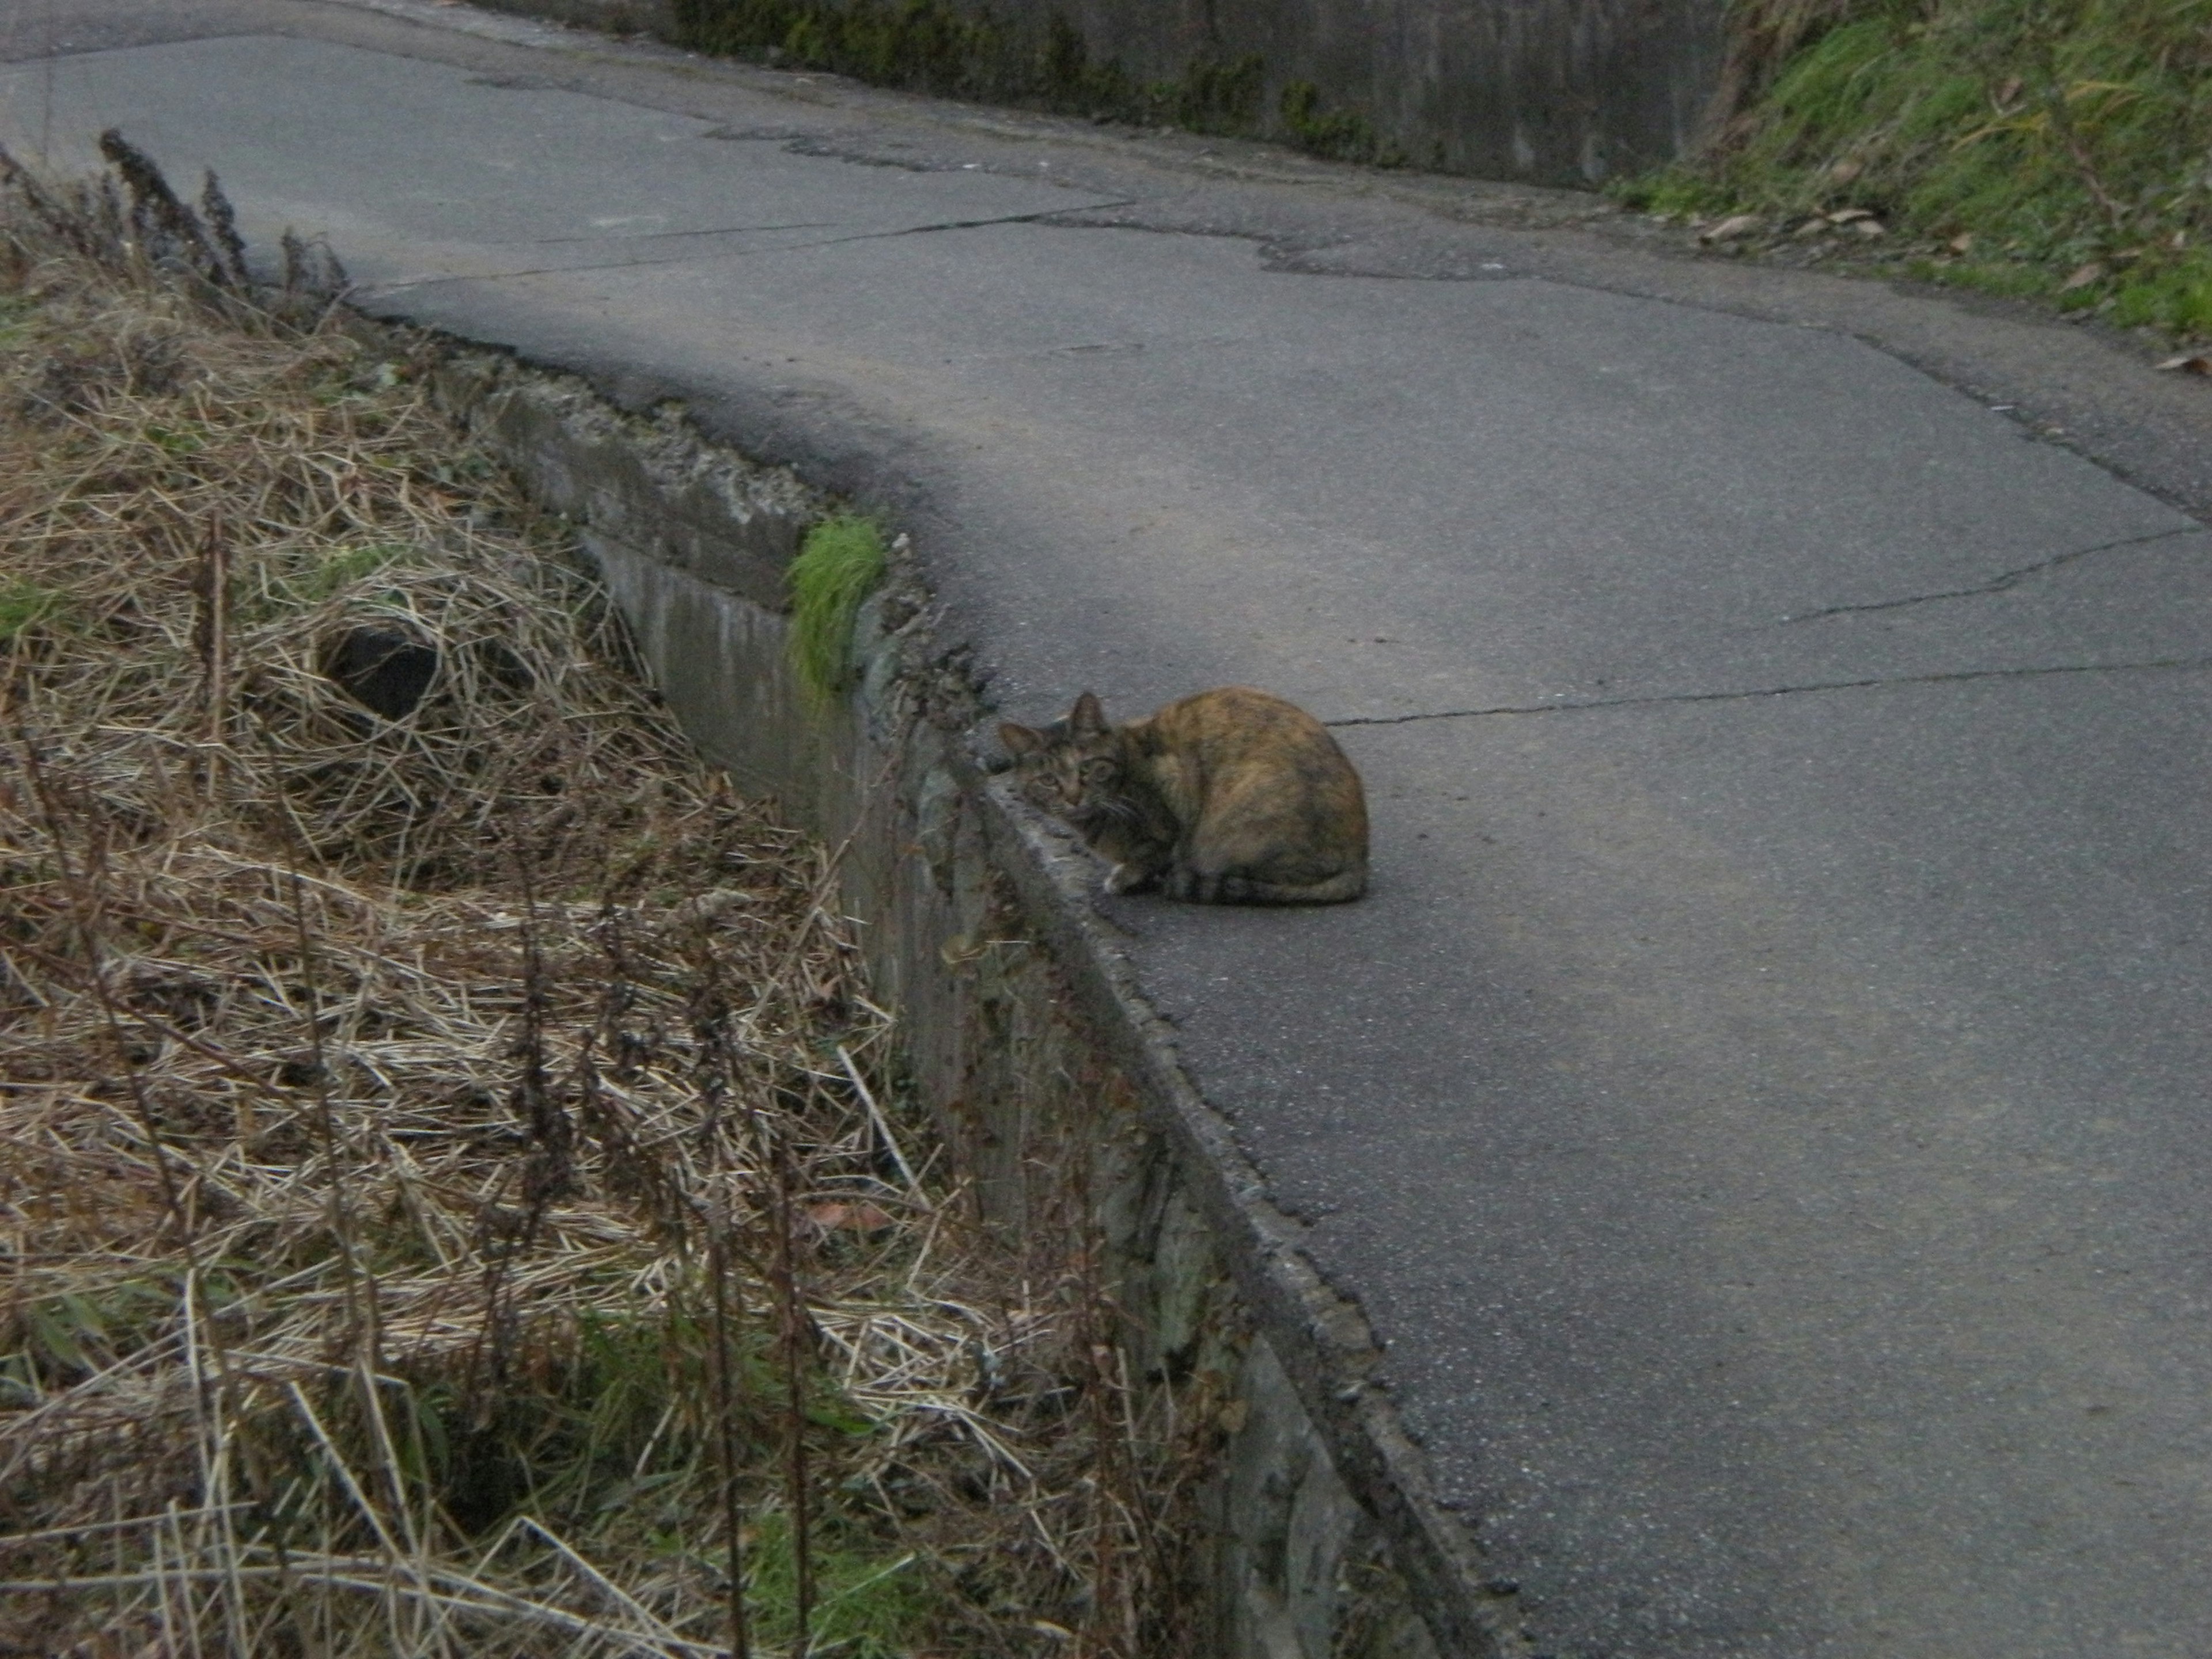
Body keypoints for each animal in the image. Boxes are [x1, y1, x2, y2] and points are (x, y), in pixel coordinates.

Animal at [999, 685, 1362, 911]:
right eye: (1049, 780)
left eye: (1088, 768)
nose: (1074, 797)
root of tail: (1358, 862)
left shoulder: (1171, 786)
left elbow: (1151, 852)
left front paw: (1128, 876)